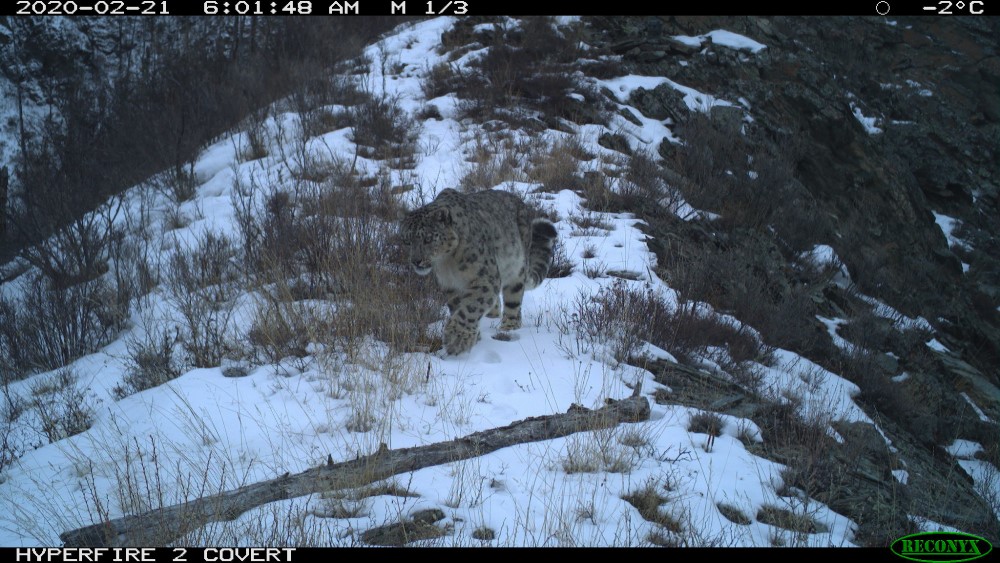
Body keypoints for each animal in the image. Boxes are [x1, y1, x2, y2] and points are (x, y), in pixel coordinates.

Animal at [400, 189, 560, 356]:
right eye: (406, 241)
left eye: (428, 239)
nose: (416, 261)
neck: (447, 263)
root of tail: (521, 202)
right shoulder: (450, 285)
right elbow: (459, 307)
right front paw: (473, 336)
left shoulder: (485, 277)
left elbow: (471, 307)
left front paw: (457, 339)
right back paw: (492, 316)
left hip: (516, 267)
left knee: (513, 298)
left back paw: (509, 326)